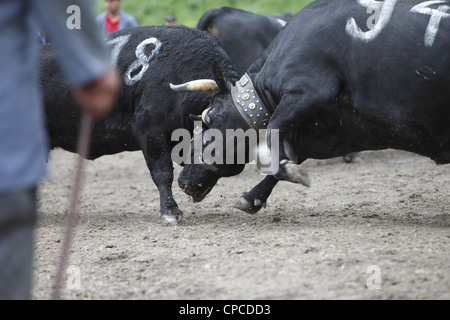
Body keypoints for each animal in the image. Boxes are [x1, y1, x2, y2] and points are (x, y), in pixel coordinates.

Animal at [171, 0, 450, 215]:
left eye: (209, 120)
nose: (182, 181)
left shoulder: (309, 91)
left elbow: (274, 134)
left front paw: (289, 174)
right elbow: (287, 152)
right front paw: (253, 197)